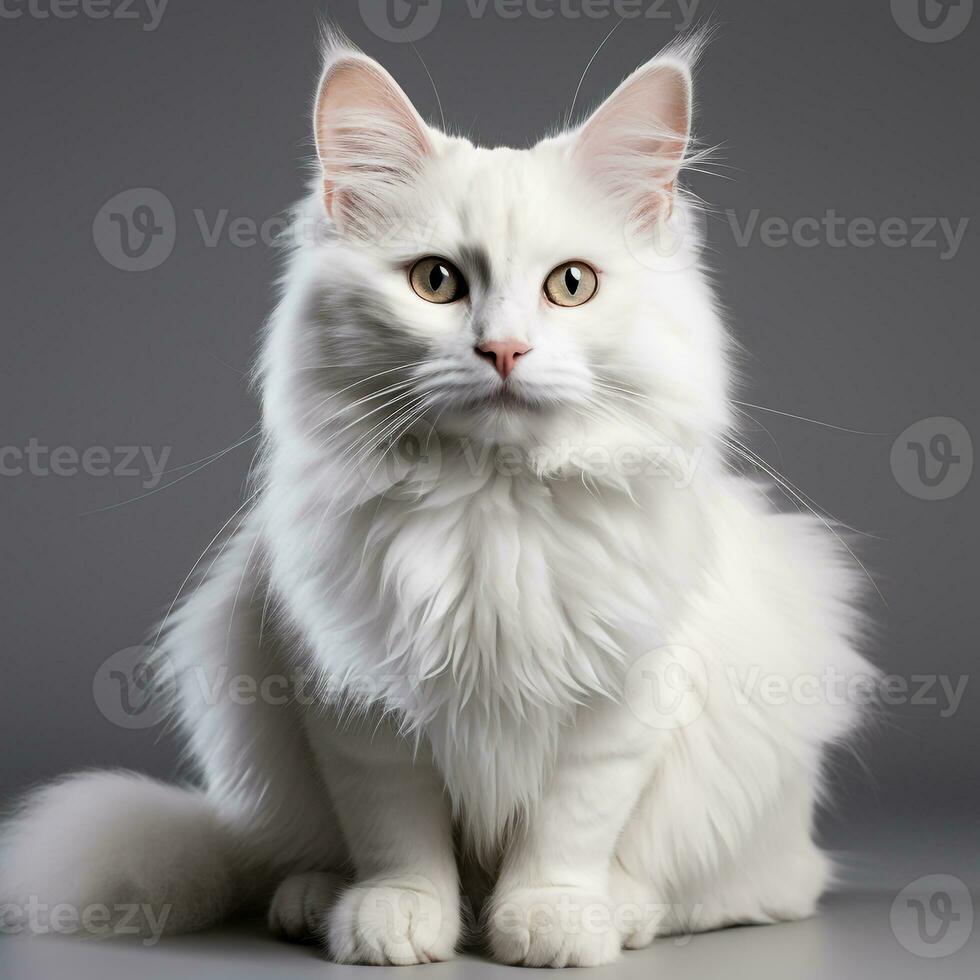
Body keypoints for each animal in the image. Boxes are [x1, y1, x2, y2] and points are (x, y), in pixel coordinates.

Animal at [0, 34, 872, 968]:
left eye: (571, 285)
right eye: (436, 281)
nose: (504, 349)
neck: (493, 503)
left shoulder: (621, 702)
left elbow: (570, 827)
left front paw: (550, 918)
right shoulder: (353, 699)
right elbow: (397, 832)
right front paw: (401, 915)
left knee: (731, 890)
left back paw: (621, 911)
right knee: (296, 855)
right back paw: (314, 898)